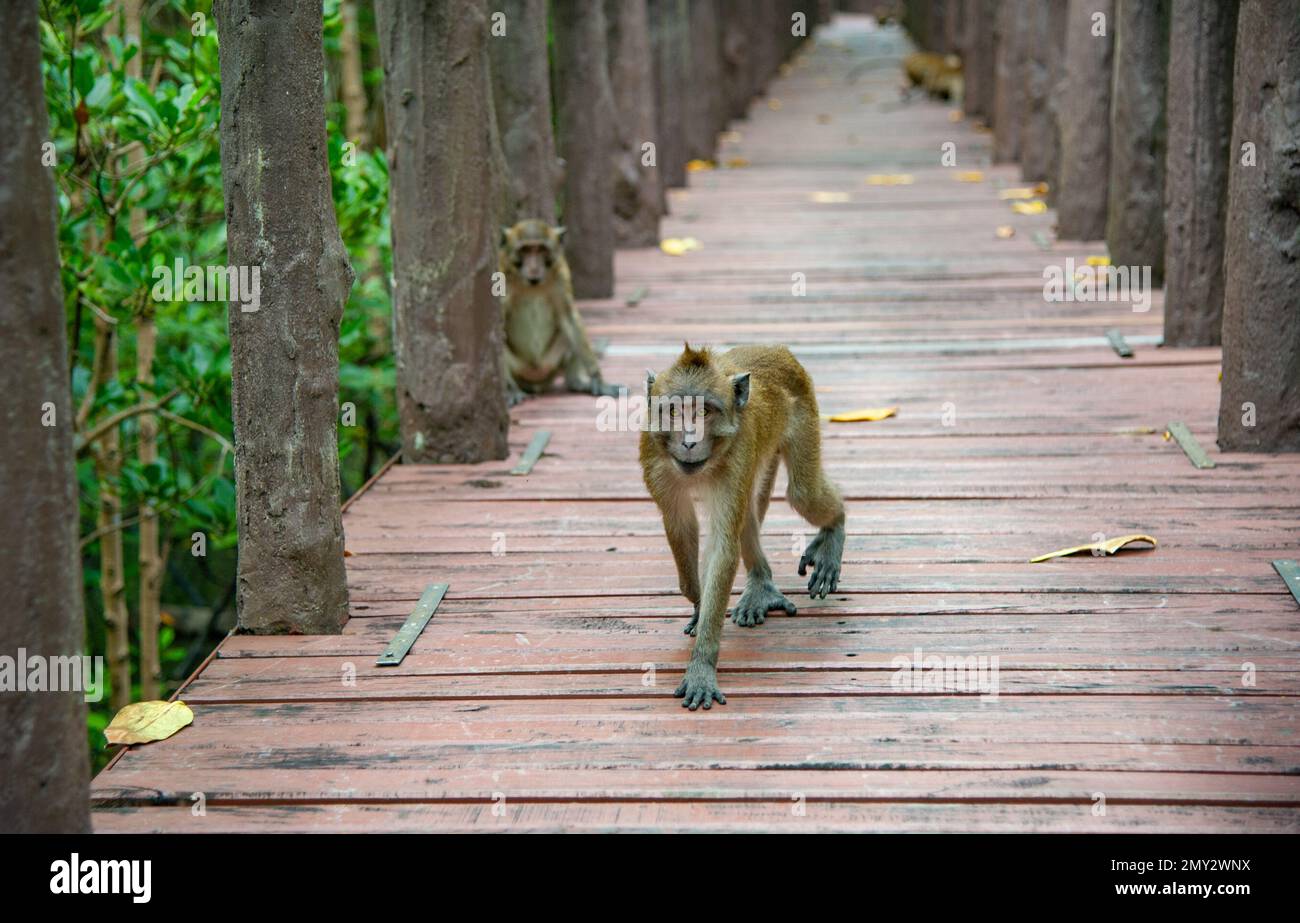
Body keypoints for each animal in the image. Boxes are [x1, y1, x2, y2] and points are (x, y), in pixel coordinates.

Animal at [496, 220, 618, 405]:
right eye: (525, 250)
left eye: (541, 249)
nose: (533, 267)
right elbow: (497, 327)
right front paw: (510, 391)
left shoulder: (561, 273)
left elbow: (569, 317)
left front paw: (598, 380)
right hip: (520, 369)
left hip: (551, 364)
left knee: (569, 330)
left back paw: (577, 381)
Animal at [642, 343, 847, 712]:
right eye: (675, 411)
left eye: (704, 411)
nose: (690, 441)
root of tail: (776, 349)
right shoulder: (654, 458)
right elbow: (681, 526)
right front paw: (698, 606)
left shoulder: (738, 455)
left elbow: (724, 547)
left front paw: (702, 664)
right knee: (749, 514)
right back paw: (761, 584)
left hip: (802, 417)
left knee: (803, 493)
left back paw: (833, 530)